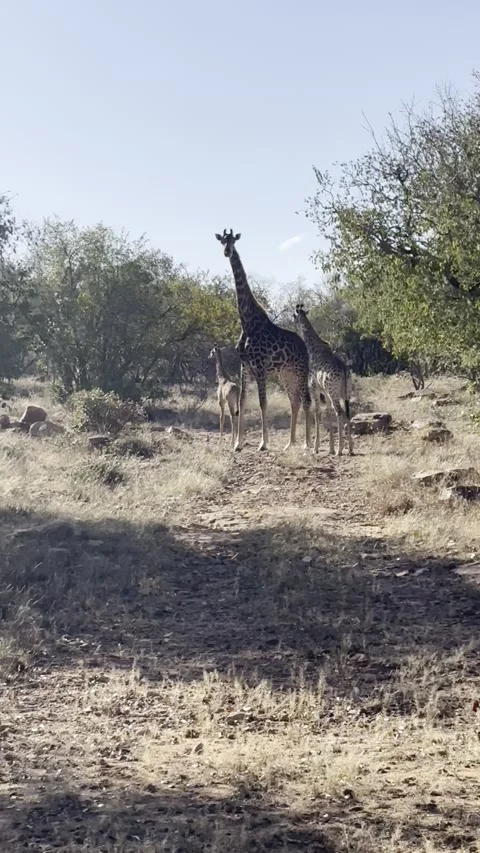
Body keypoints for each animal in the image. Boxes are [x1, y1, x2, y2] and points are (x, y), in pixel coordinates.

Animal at [215, 229, 311, 452]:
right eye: (223, 241)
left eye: (233, 241)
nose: (227, 252)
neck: (247, 322)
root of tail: (304, 346)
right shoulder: (245, 366)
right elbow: (242, 403)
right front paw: (238, 444)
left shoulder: (259, 367)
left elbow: (262, 402)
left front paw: (263, 443)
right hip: (286, 374)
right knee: (294, 401)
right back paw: (290, 443)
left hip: (301, 370)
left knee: (306, 400)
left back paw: (307, 444)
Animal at [294, 304, 353, 456]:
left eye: (294, 316)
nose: (295, 327)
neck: (312, 350)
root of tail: (344, 369)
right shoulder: (324, 392)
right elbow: (327, 412)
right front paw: (330, 448)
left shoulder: (314, 388)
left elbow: (318, 412)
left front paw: (316, 447)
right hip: (344, 392)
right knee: (347, 413)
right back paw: (350, 449)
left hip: (333, 391)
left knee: (339, 412)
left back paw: (340, 450)